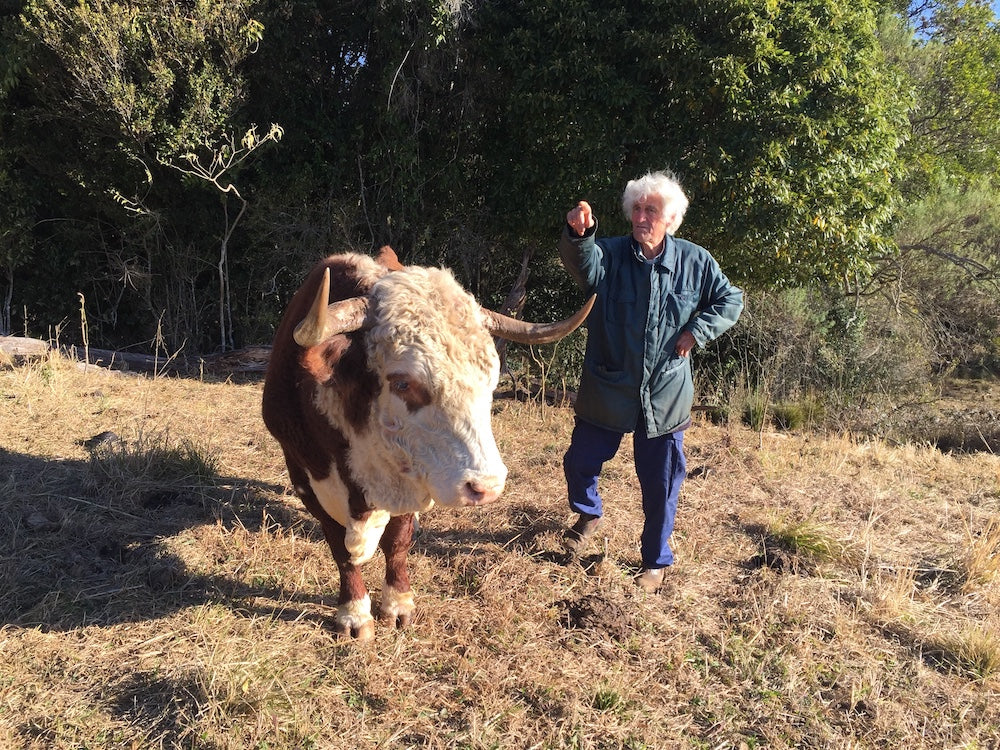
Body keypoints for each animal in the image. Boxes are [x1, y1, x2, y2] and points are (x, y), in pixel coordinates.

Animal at [262, 248, 596, 640]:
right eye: (403, 383)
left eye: (491, 377)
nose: (487, 486)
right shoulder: (305, 474)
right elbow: (339, 548)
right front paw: (354, 613)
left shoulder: (411, 476)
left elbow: (397, 542)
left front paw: (397, 605)